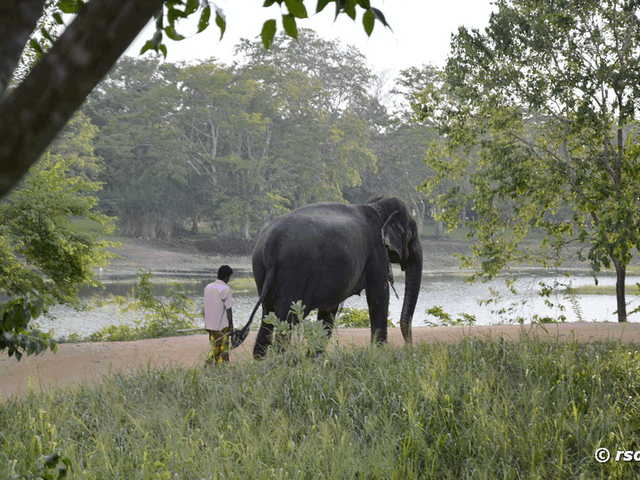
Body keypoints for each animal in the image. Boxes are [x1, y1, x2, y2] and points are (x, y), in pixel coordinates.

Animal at [233, 196, 423, 358]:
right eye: (412, 234)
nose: (409, 347)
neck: (377, 205)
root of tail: (271, 245)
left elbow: (329, 309)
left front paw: (313, 359)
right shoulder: (376, 253)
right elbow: (379, 294)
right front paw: (379, 354)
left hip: (260, 269)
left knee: (268, 313)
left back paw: (261, 359)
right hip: (294, 272)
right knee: (286, 317)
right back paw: (280, 359)